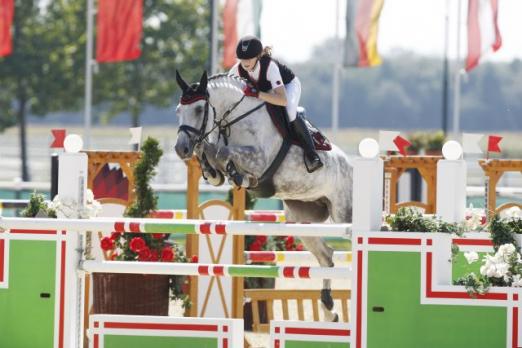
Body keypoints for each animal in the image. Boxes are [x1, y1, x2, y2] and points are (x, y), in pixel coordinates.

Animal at [173, 70, 352, 320]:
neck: (233, 120)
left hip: (345, 213)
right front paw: (211, 164)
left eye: (199, 109)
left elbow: (223, 152)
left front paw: (239, 175)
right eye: (178, 110)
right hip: (301, 218)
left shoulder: (258, 159)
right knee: (326, 256)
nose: (181, 149)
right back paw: (329, 310)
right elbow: (212, 158)